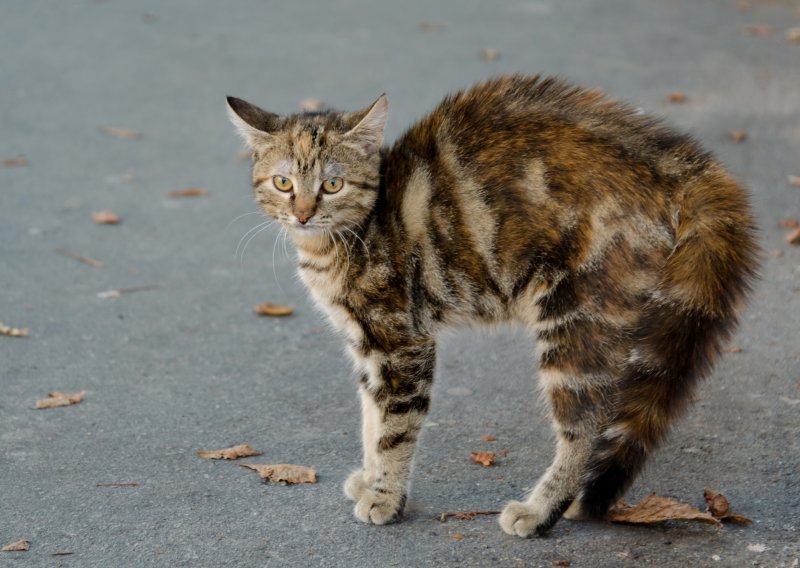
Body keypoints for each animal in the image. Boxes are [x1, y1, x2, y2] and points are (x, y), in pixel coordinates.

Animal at [225, 75, 756, 536]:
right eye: (283, 183)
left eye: (332, 185)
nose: (303, 214)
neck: (344, 241)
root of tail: (676, 165)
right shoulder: (367, 347)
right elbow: (371, 418)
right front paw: (371, 478)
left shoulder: (401, 343)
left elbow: (394, 429)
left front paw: (385, 497)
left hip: (574, 324)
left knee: (586, 427)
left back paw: (540, 512)